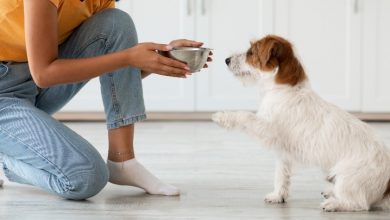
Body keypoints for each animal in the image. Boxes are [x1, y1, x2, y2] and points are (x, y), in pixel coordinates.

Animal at [212, 34, 390, 211]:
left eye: (251, 52)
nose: (226, 60)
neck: (284, 89)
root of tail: (387, 187)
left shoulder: (268, 129)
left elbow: (245, 116)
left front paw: (222, 116)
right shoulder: (283, 152)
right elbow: (281, 174)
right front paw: (278, 195)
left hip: (347, 177)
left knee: (358, 203)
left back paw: (333, 203)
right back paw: (330, 192)